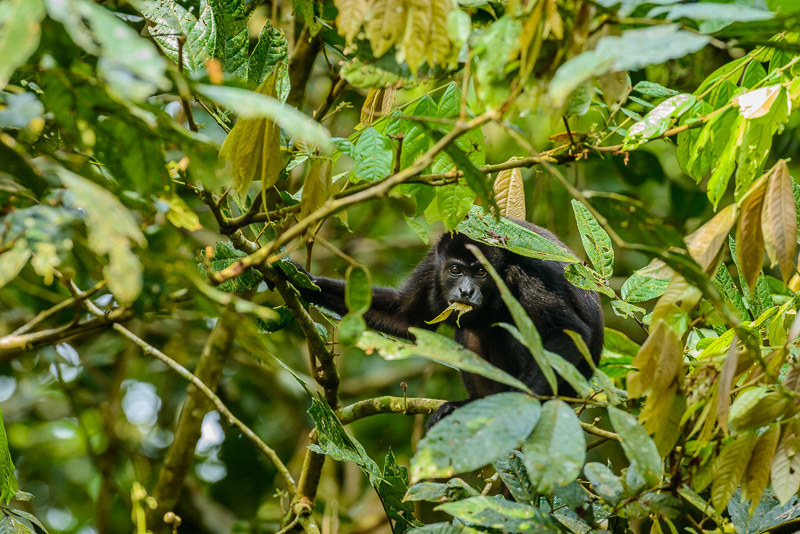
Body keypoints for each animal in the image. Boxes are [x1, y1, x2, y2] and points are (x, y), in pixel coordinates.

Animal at [296, 219, 604, 428]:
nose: (465, 291)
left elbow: (567, 333)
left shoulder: (526, 271)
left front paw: (517, 404)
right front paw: (303, 281)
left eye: (480, 272)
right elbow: (406, 316)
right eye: (455, 270)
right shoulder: (432, 263)